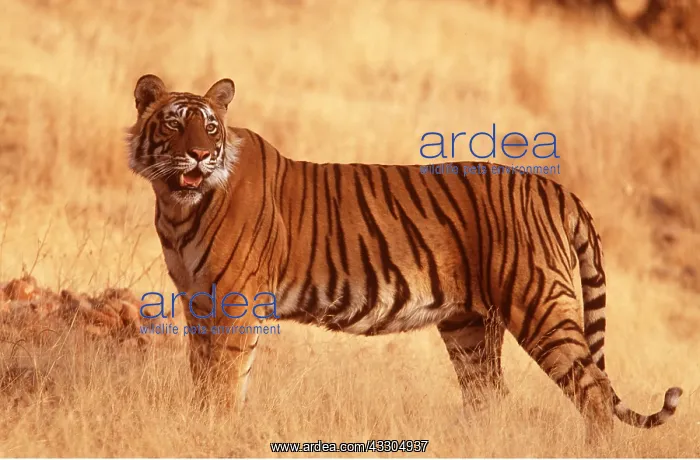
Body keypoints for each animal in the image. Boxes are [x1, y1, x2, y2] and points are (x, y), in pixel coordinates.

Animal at [126, 74, 682, 440]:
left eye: (210, 129)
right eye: (174, 126)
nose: (200, 155)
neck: (177, 206)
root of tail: (555, 188)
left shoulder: (235, 301)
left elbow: (224, 379)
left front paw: (213, 432)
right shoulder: (198, 303)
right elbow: (203, 375)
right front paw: (198, 422)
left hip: (539, 305)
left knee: (593, 391)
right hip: (470, 326)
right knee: (490, 396)